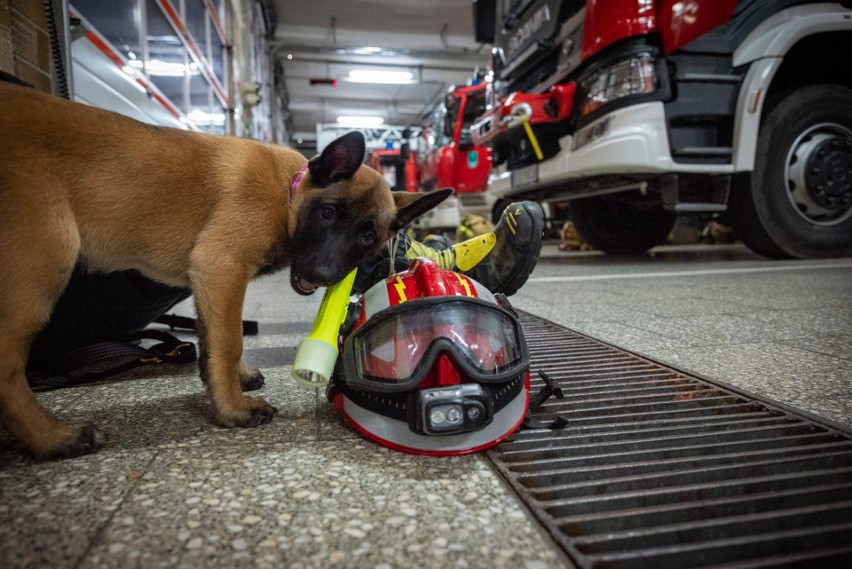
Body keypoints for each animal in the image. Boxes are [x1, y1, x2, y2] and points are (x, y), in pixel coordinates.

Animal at [0, 82, 452, 460]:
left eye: (367, 236)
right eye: (327, 213)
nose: (324, 274)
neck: (287, 192)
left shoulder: (211, 281)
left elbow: (212, 339)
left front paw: (226, 382)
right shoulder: (222, 268)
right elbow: (230, 339)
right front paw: (232, 408)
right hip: (46, 261)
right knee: (7, 368)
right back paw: (54, 438)